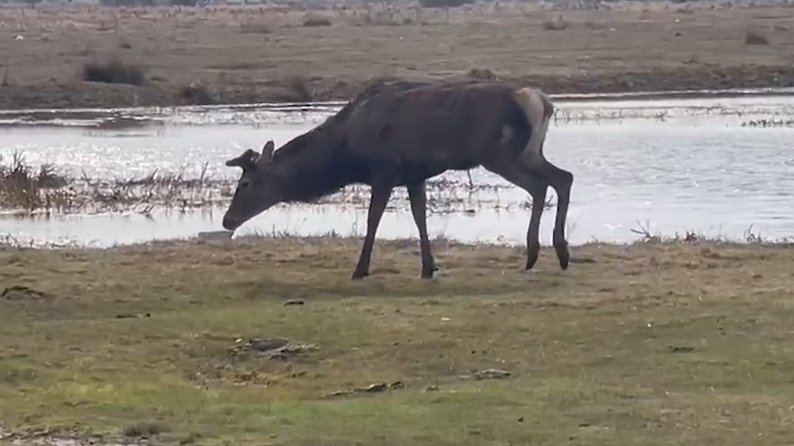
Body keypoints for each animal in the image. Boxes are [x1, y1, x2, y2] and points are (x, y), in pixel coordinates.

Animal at [222, 78, 573, 280]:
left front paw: (360, 268)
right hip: (528, 151)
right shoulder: (414, 175)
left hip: (500, 153)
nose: (227, 220)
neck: (346, 154)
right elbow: (420, 217)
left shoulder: (384, 170)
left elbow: (373, 219)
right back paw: (555, 253)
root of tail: (543, 102)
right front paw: (428, 267)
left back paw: (540, 253)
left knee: (542, 184)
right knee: (562, 178)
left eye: (245, 183)